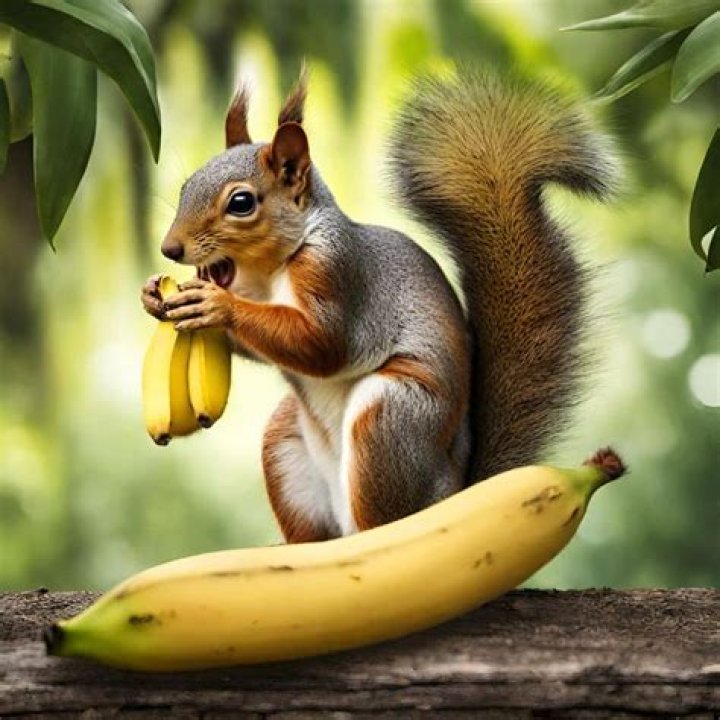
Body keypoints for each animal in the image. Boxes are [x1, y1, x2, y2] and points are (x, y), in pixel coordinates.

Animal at [141, 69, 618, 543]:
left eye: (241, 203)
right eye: (186, 186)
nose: (170, 249)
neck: (267, 271)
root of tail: (456, 493)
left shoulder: (339, 274)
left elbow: (323, 343)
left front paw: (218, 305)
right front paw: (153, 296)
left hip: (391, 419)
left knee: (385, 517)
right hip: (285, 444)